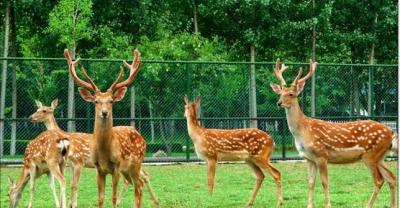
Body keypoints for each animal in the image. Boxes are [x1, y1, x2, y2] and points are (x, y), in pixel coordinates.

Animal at [29, 98, 158, 206]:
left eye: (44, 110)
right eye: (37, 109)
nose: (31, 117)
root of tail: (141, 136)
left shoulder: (78, 161)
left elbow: (74, 185)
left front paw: (72, 204)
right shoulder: (70, 164)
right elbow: (70, 184)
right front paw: (68, 204)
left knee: (133, 180)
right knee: (143, 176)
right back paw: (155, 201)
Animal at [64, 48, 155, 207]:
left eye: (111, 101)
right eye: (95, 101)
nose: (104, 112)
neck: (104, 152)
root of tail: (140, 135)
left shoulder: (117, 166)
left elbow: (113, 197)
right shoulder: (98, 168)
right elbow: (100, 198)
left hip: (137, 162)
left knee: (138, 187)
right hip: (128, 169)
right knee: (138, 185)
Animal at [268, 59, 396, 208]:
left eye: (291, 94)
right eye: (280, 92)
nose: (279, 102)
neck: (303, 131)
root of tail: (391, 132)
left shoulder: (321, 155)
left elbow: (324, 182)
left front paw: (328, 205)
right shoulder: (309, 158)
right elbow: (310, 183)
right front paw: (309, 205)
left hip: (371, 155)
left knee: (379, 180)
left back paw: (368, 205)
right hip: (380, 156)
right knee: (391, 177)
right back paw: (392, 204)